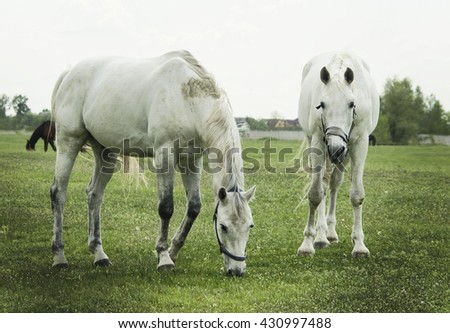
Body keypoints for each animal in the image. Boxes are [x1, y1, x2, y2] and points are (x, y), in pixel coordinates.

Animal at [50, 51, 255, 274]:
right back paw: (59, 256)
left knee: (94, 195)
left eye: (249, 226)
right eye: (223, 226)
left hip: (105, 152)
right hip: (69, 142)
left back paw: (99, 254)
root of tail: (70, 73)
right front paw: (164, 257)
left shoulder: (191, 160)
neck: (187, 99)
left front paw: (173, 250)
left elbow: (194, 207)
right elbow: (166, 207)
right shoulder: (164, 156)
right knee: (58, 193)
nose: (237, 271)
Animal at [298, 52, 380, 256]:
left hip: (345, 153)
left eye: (351, 104)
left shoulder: (359, 144)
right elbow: (315, 194)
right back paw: (321, 236)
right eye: (321, 104)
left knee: (334, 183)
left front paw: (359, 245)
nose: (335, 148)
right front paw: (307, 243)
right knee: (324, 185)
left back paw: (331, 233)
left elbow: (357, 195)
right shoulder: (318, 142)